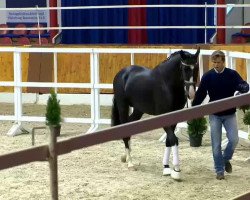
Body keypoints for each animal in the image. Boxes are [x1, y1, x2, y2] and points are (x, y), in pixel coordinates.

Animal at [111, 48, 199, 180]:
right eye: (185, 68)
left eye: (196, 67)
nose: (191, 93)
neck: (167, 84)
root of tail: (122, 73)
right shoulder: (164, 118)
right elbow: (173, 139)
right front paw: (176, 171)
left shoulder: (174, 119)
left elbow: (169, 140)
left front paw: (166, 168)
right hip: (123, 106)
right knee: (124, 129)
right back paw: (130, 163)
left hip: (138, 110)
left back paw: (126, 156)